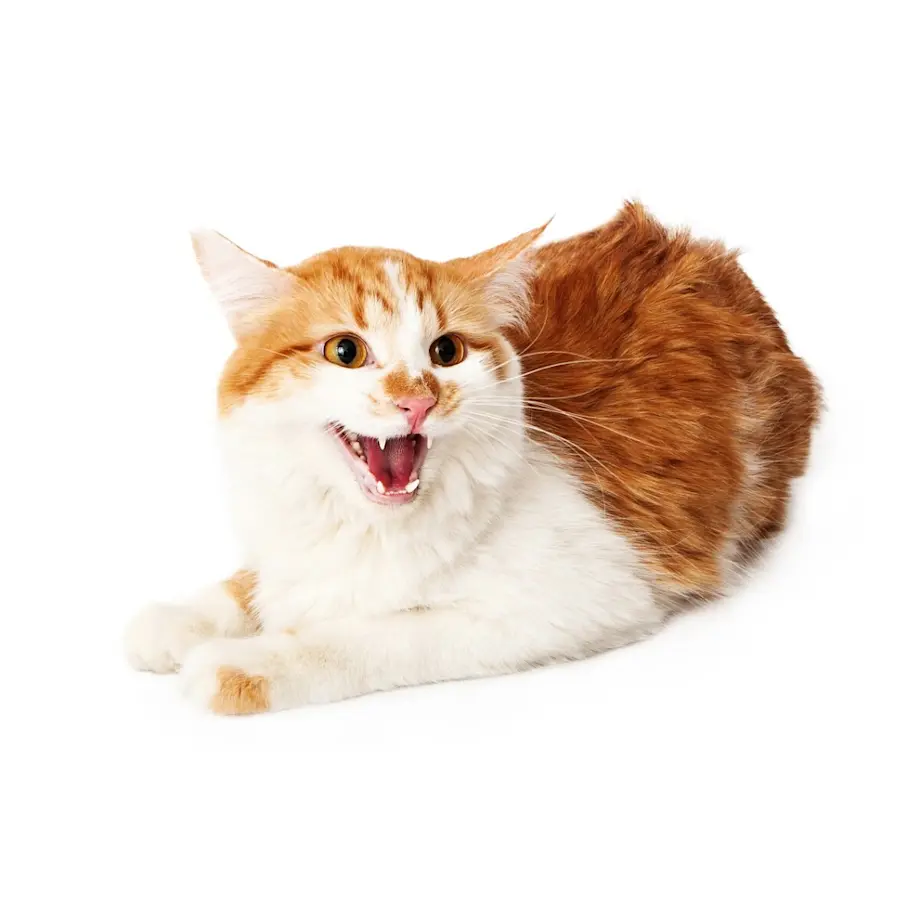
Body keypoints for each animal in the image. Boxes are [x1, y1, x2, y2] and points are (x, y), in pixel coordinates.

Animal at [125, 202, 820, 714]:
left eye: (447, 352)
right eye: (346, 352)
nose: (418, 400)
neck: (369, 526)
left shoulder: (579, 598)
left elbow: (370, 634)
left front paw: (244, 663)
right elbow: (250, 583)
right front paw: (178, 620)